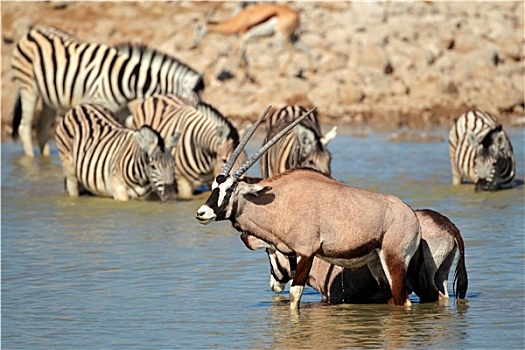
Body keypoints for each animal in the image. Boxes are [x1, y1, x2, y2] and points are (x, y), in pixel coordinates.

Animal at [11, 26, 205, 158]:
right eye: (190, 106)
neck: (126, 79)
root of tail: (32, 32)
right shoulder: (100, 104)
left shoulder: (122, 110)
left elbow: (133, 128)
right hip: (28, 87)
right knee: (24, 127)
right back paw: (31, 161)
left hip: (49, 98)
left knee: (42, 128)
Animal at [194, 106, 424, 308]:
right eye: (214, 186)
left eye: (230, 189)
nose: (201, 213)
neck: (279, 202)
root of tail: (410, 215)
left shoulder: (306, 252)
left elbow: (295, 296)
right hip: (376, 263)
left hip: (394, 261)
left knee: (403, 301)